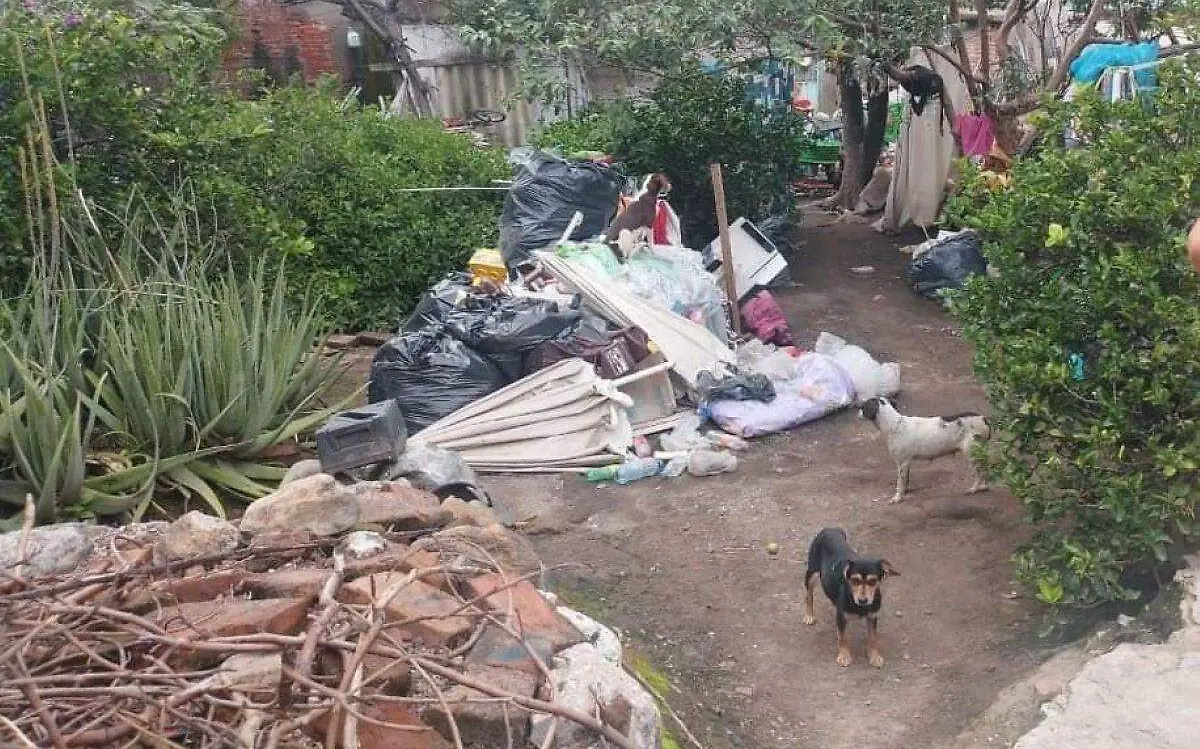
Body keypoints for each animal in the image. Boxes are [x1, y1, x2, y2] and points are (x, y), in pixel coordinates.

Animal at [806, 525, 902, 667]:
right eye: (855, 580)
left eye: (873, 581)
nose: (863, 600)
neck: (861, 607)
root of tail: (830, 529)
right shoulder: (841, 616)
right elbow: (843, 637)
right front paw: (844, 656)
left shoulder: (872, 616)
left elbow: (873, 638)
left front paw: (874, 656)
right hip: (812, 572)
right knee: (808, 595)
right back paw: (809, 615)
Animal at [864, 398, 993, 504]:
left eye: (862, 407)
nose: (859, 410)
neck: (894, 425)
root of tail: (983, 418)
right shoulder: (906, 463)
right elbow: (906, 480)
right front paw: (905, 492)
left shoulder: (902, 462)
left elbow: (900, 483)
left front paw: (897, 498)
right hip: (981, 452)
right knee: (986, 468)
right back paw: (984, 486)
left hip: (972, 453)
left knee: (979, 472)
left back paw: (974, 489)